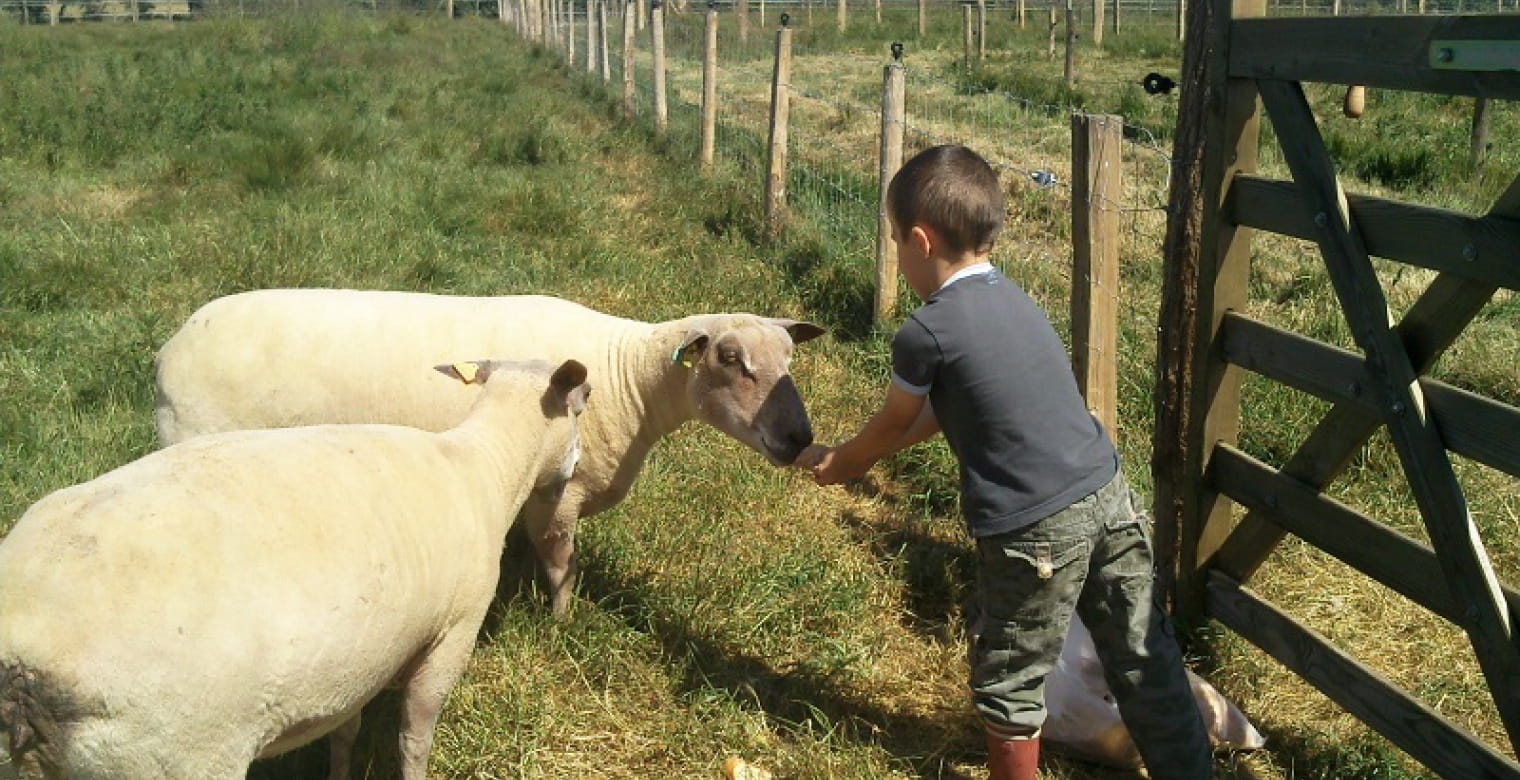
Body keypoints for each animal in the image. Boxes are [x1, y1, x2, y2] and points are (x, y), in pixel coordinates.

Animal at [1, 355, 592, 775]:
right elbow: (414, 736)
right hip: (176, 754)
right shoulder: (454, 631)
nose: (576, 467)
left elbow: (346, 732)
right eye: (582, 405)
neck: (483, 464)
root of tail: (24, 658)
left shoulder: (359, 661)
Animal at [152, 288, 820, 617]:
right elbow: (560, 564)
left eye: (791, 358)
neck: (630, 376)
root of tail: (169, 350)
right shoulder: (559, 491)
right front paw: (561, 625)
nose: (800, 440)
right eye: (730, 359)